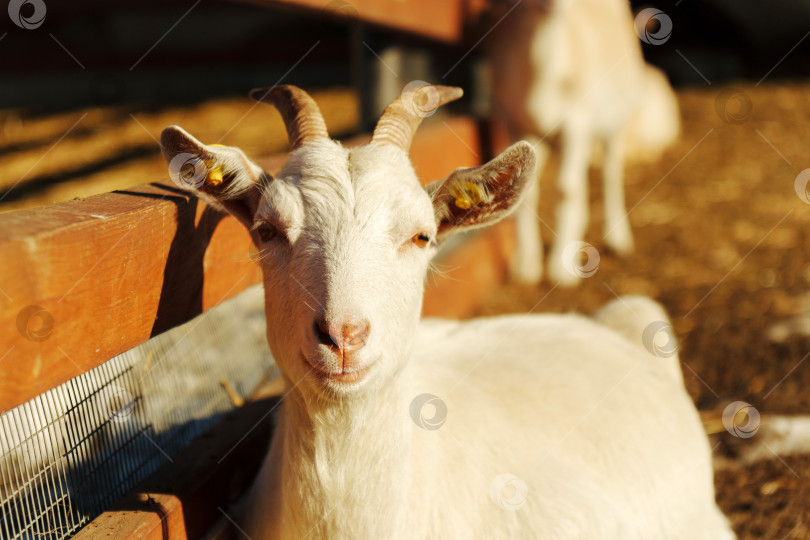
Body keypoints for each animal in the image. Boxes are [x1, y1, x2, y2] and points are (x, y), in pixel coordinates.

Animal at [489, 0, 680, 286]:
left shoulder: (576, 125)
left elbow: (566, 190)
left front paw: (561, 269)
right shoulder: (517, 125)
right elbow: (528, 191)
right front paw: (527, 266)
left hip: (617, 121)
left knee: (610, 174)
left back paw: (617, 238)